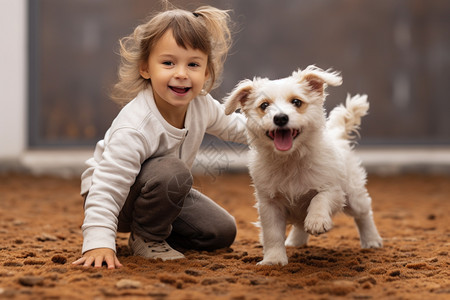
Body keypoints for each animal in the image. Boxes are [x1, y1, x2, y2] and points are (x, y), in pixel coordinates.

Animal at [223, 65, 382, 264]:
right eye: (264, 106)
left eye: (297, 102)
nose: (280, 118)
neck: (290, 159)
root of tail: (337, 135)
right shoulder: (269, 204)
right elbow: (272, 234)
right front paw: (274, 260)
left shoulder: (334, 190)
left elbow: (319, 199)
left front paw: (317, 221)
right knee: (299, 225)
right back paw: (295, 242)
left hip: (354, 196)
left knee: (364, 214)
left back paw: (371, 240)